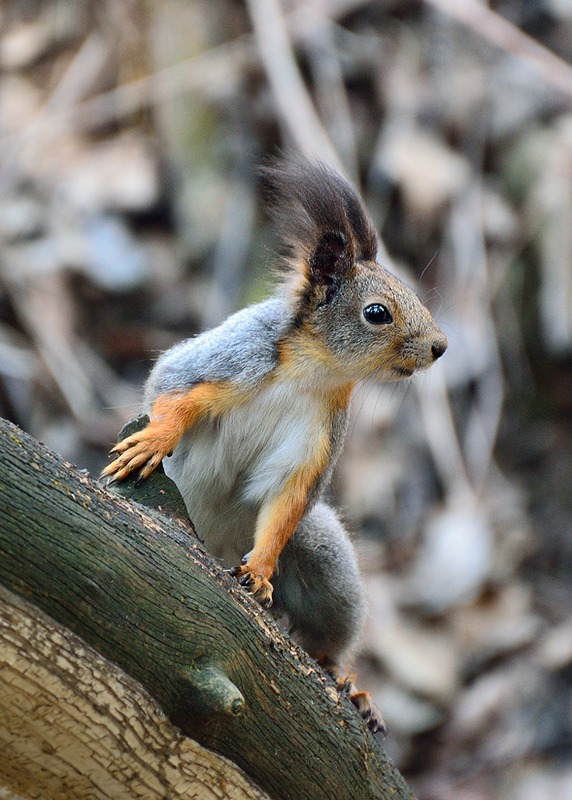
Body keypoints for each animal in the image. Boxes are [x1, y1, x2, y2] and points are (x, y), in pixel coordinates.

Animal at [105, 153, 450, 736]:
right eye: (376, 312)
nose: (440, 346)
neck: (314, 371)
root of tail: (214, 544)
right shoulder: (231, 359)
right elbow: (172, 391)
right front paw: (155, 439)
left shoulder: (316, 440)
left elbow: (288, 498)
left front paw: (262, 572)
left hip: (326, 561)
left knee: (328, 633)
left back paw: (349, 685)